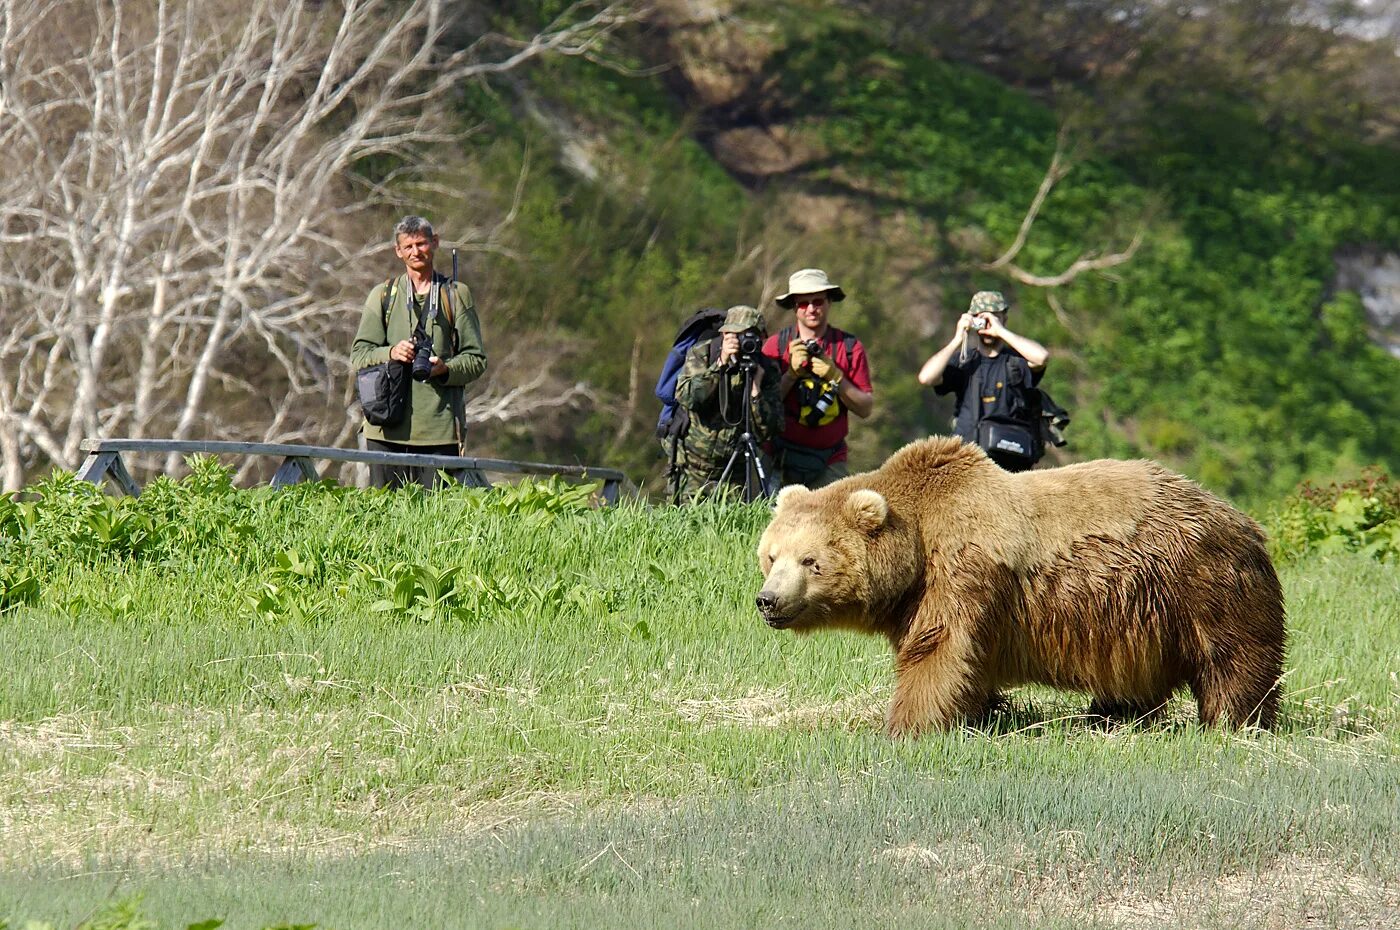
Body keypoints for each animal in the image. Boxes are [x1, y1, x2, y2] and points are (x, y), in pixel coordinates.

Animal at [761, 439, 1282, 739]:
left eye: (811, 561)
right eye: (770, 556)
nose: (768, 600)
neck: (917, 543)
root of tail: (1242, 518)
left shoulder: (963, 569)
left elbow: (939, 648)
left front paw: (907, 726)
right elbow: (965, 663)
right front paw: (981, 712)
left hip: (1201, 583)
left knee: (1233, 659)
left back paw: (1233, 723)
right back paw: (1111, 716)